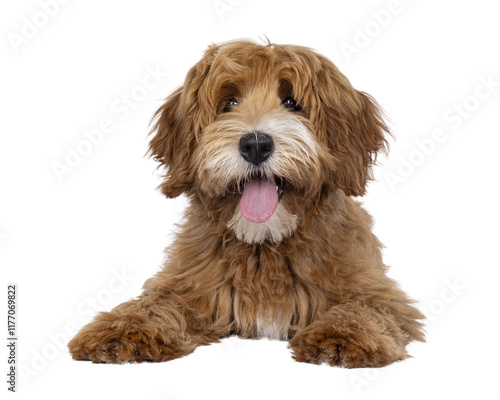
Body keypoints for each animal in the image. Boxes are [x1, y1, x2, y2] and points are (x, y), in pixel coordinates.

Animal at [68, 39, 424, 368]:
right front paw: (120, 330)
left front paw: (341, 335)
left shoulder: (377, 292)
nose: (255, 144)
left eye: (292, 102)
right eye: (229, 103)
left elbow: (364, 307)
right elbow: (154, 304)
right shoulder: (188, 285)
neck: (264, 245)